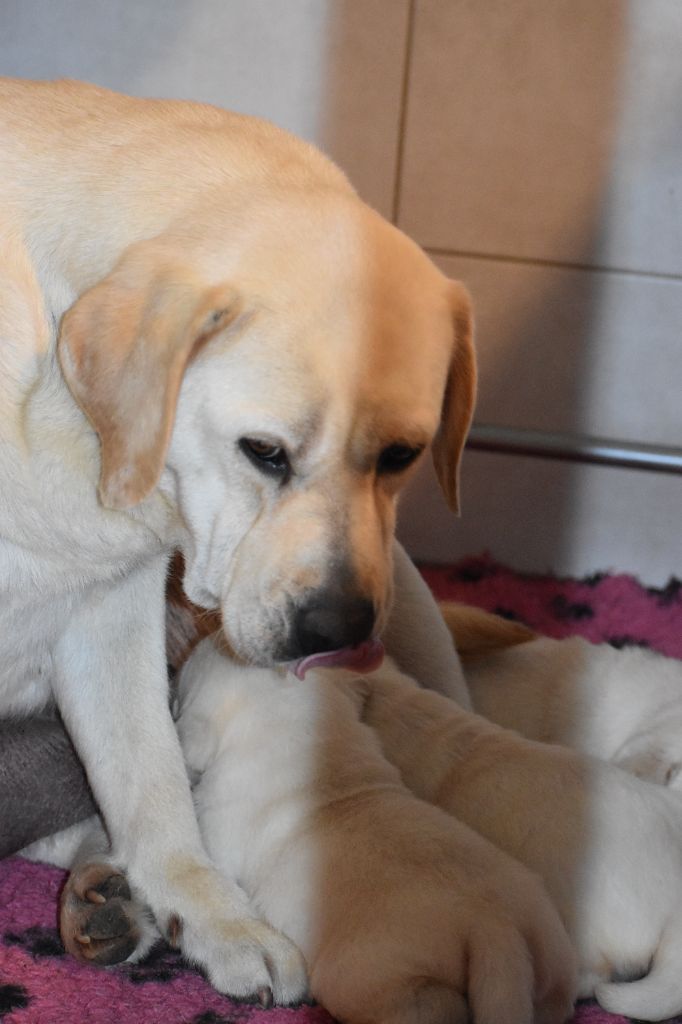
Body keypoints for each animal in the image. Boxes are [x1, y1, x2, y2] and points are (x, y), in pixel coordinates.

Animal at [0, 79, 569, 1015]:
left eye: (403, 454)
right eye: (263, 451)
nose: (336, 629)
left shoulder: (109, 609)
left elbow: (152, 783)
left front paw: (219, 920)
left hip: (411, 610)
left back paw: (108, 899)